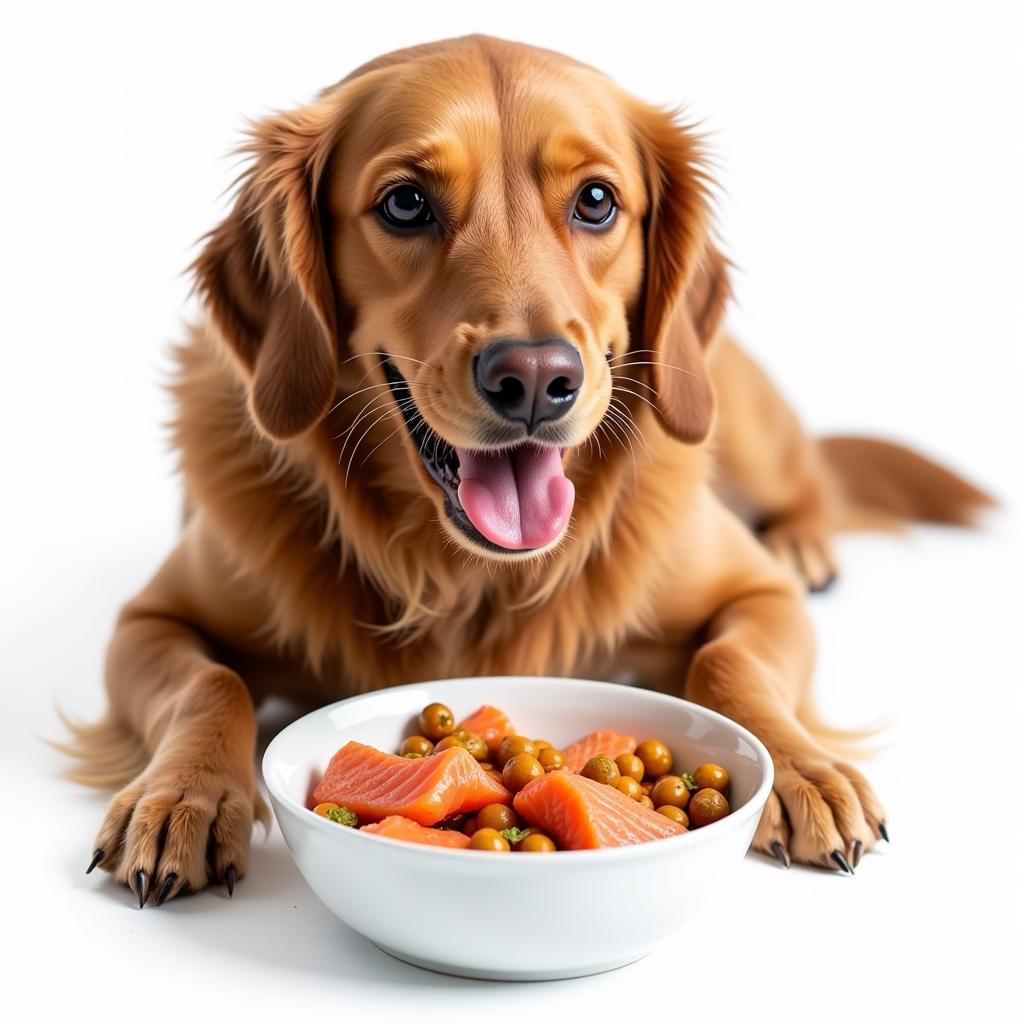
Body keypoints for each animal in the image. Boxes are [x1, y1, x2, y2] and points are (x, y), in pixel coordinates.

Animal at [59, 37, 987, 905]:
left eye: (597, 200)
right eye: (405, 203)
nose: (537, 378)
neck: (465, 578)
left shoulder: (758, 596)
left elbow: (728, 665)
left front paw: (801, 767)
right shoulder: (151, 620)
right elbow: (211, 684)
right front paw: (183, 795)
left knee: (811, 486)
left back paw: (806, 543)